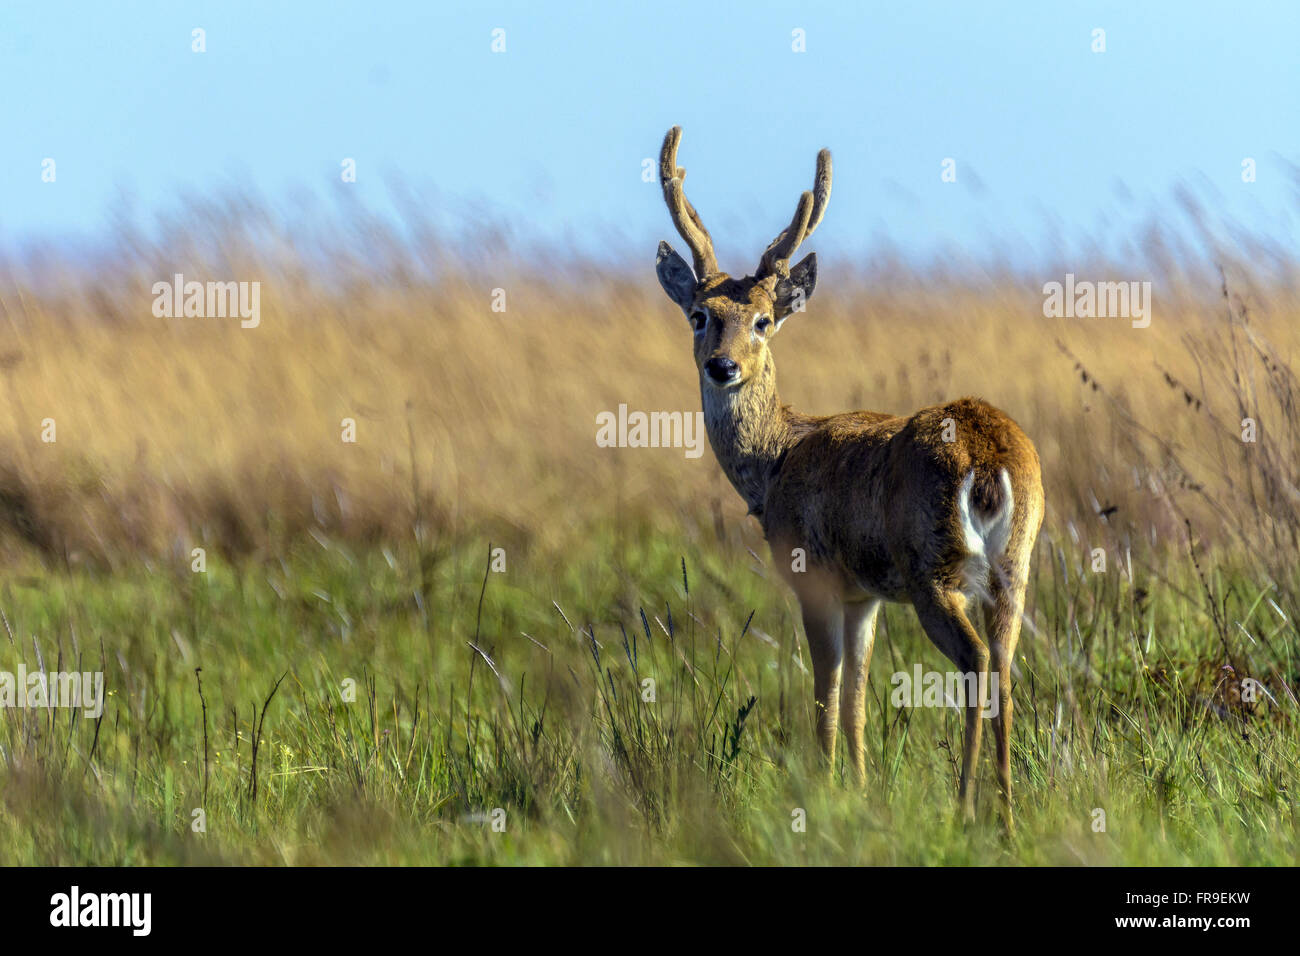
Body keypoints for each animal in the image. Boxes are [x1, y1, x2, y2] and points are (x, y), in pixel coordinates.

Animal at [650, 127, 1045, 832]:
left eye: (763, 321)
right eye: (699, 314)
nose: (722, 366)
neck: (777, 460)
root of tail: (989, 454)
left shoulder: (815, 575)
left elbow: (825, 692)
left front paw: (828, 793)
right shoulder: (865, 595)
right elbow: (858, 697)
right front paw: (861, 790)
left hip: (933, 568)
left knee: (976, 662)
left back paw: (964, 806)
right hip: (1015, 564)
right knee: (1004, 660)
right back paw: (1004, 810)